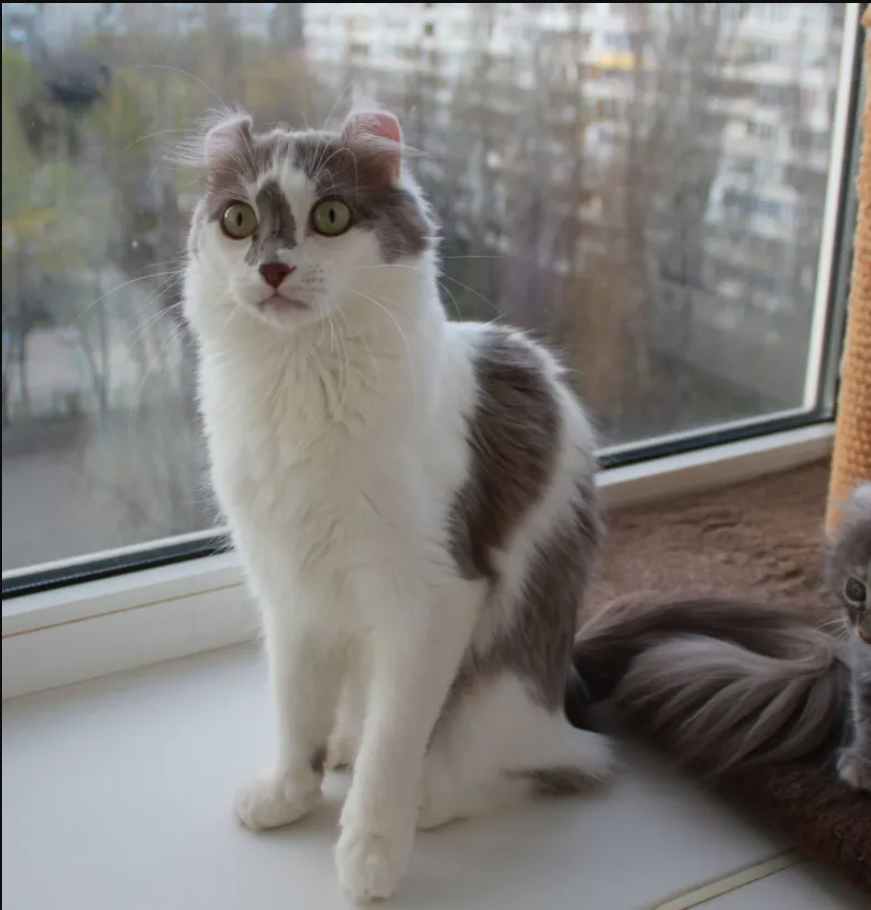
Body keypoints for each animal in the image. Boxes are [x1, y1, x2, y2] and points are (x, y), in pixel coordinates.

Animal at [181, 108, 608, 904]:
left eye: (330, 216)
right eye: (237, 219)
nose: (273, 268)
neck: (300, 388)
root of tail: (561, 712)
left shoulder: (434, 596)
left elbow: (394, 742)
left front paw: (370, 849)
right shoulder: (289, 590)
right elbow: (296, 710)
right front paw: (288, 792)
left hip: (499, 685)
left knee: (522, 770)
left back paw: (426, 799)